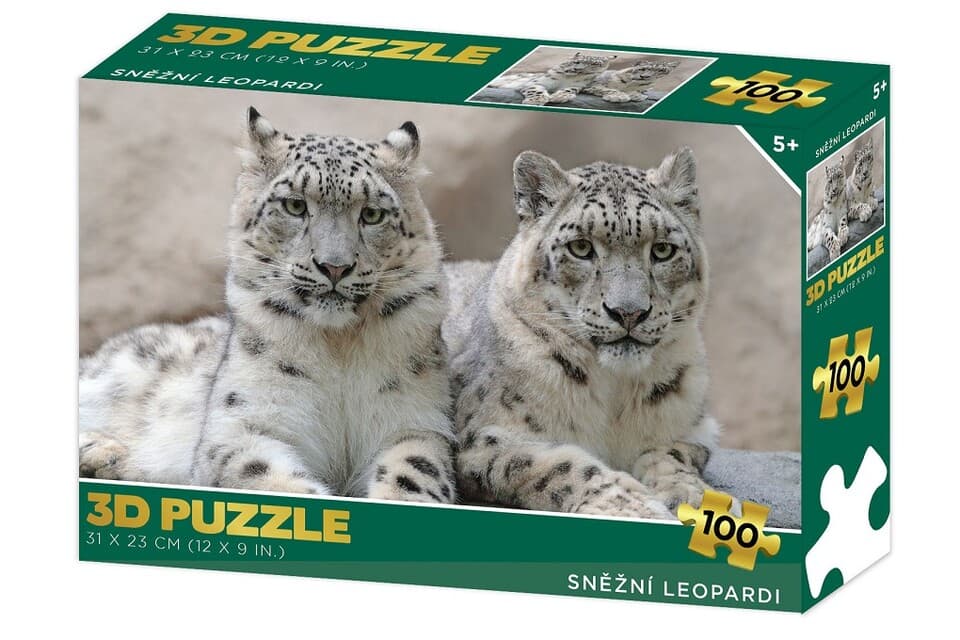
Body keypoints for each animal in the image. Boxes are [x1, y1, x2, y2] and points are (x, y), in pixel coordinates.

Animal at [79, 108, 457, 504]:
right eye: (295, 205)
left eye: (372, 214)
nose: (334, 266)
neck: (339, 347)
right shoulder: (246, 423)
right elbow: (263, 474)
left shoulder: (414, 422)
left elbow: (414, 473)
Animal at [442, 147, 727, 520]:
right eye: (580, 247)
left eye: (663, 249)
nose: (629, 312)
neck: (616, 395)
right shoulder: (487, 436)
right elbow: (559, 466)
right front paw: (633, 507)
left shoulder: (691, 428)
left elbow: (672, 454)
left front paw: (691, 495)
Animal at [490, 52, 618, 106]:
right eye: (577, 62)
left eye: (594, 64)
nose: (576, 69)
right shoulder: (536, 82)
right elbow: (535, 89)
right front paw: (536, 100)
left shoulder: (578, 85)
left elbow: (569, 89)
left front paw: (559, 96)